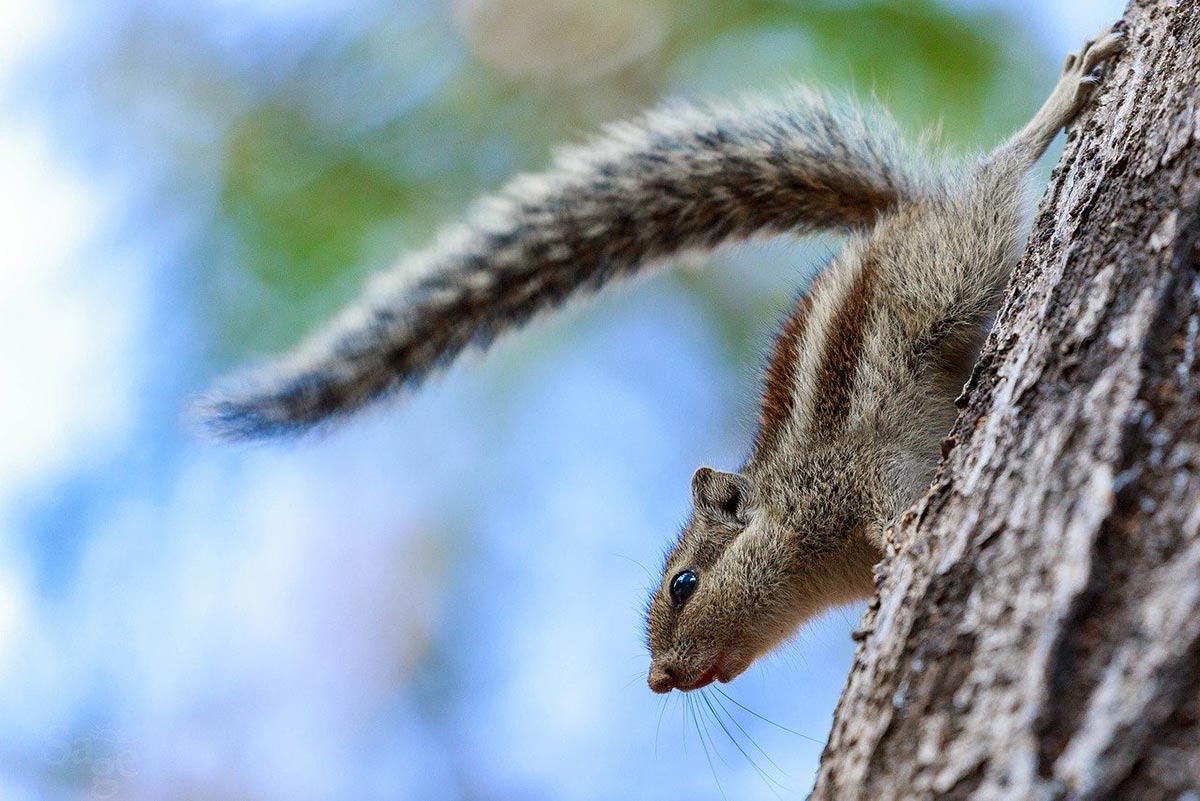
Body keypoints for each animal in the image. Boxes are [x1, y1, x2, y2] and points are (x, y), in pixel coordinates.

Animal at [196, 25, 1123, 695]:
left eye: (683, 584)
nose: (657, 678)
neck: (797, 528)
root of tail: (893, 219)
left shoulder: (854, 477)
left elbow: (894, 506)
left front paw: (901, 540)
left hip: (948, 265)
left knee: (995, 175)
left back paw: (1068, 91)